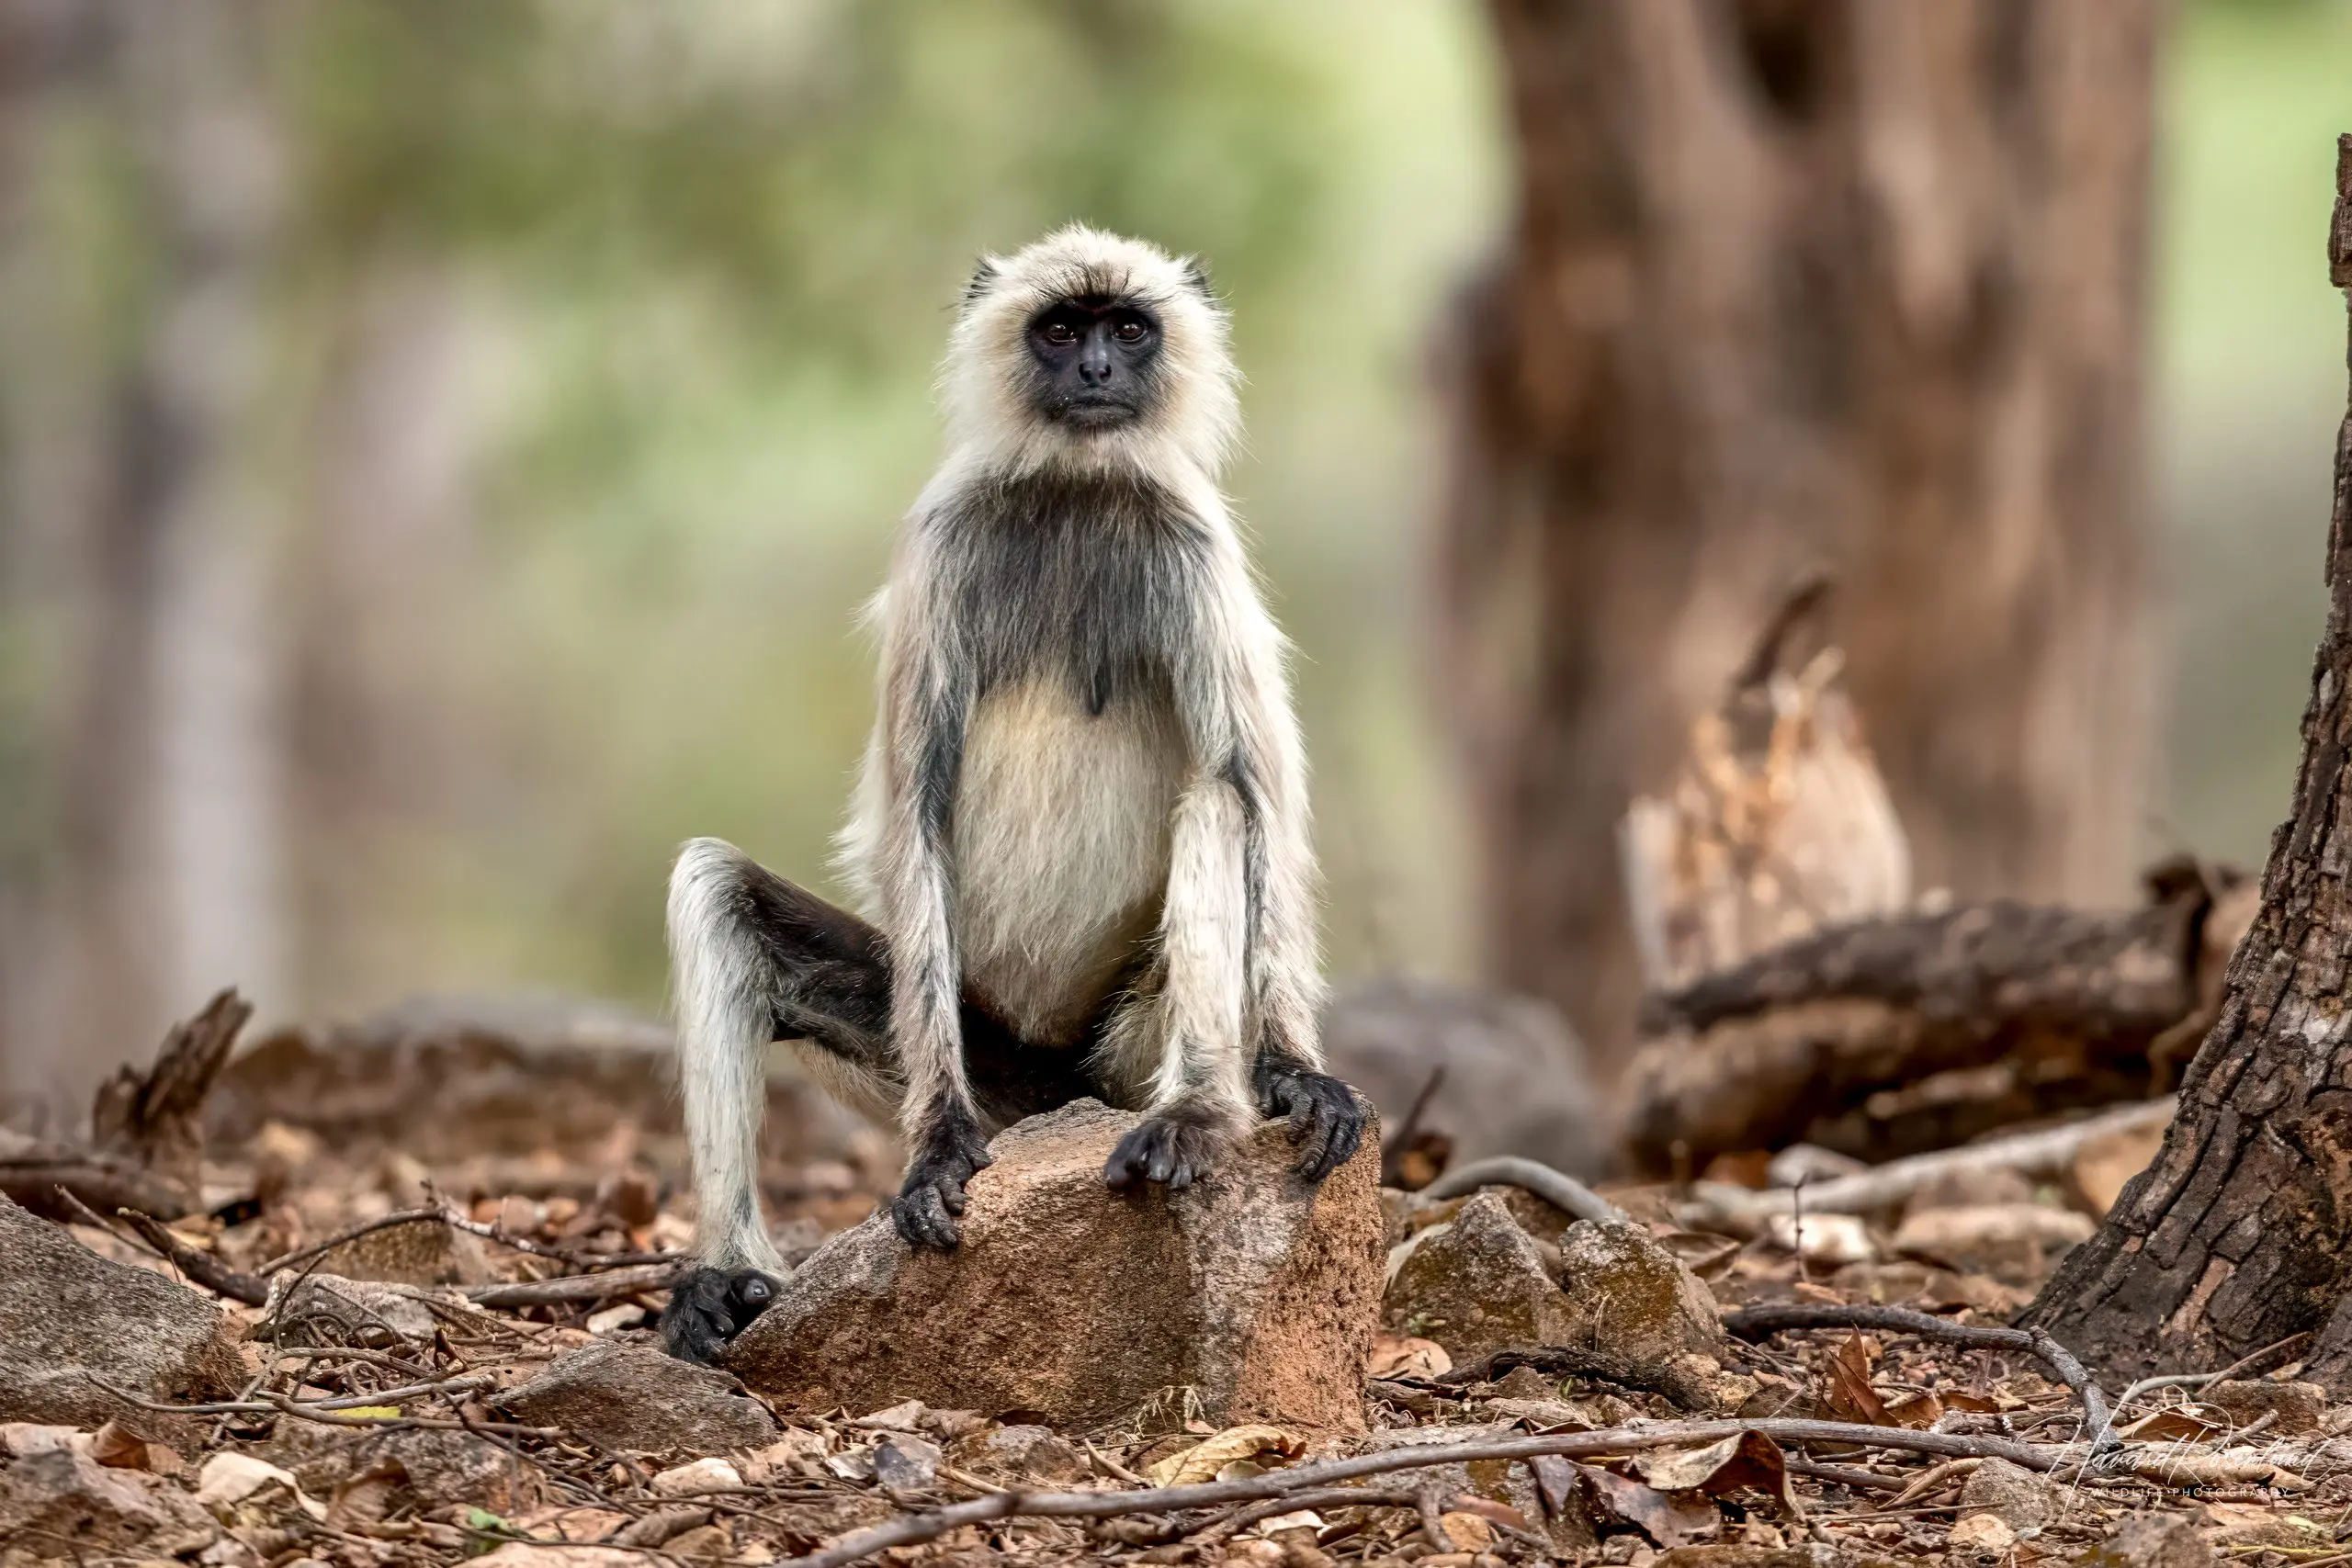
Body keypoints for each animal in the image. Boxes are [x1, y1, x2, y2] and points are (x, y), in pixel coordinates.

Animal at [658, 223, 1363, 1363]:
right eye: (1062, 329)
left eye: (1128, 328)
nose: (1097, 372)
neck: (1073, 488)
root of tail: (1068, 1086)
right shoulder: (944, 545)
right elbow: (914, 813)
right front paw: (938, 1143)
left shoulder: (1191, 543)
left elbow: (1249, 789)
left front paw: (1297, 1070)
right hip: (997, 1065)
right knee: (715, 887)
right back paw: (727, 1276)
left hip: (1121, 1048)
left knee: (1215, 802)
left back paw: (1198, 1113)